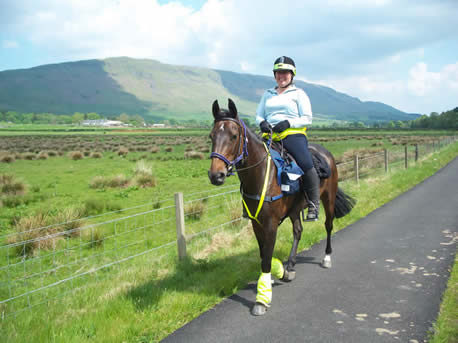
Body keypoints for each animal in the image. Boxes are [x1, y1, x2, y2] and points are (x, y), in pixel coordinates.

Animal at [208, 99, 354, 318]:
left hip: (327, 199)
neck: (261, 176)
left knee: (328, 226)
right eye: (212, 136)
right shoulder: (256, 223)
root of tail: (326, 153)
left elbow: (266, 259)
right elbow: (264, 254)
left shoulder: (270, 224)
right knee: (298, 231)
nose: (215, 175)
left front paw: (262, 299)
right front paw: (277, 273)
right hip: (294, 209)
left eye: (234, 136)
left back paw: (327, 258)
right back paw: (290, 266)